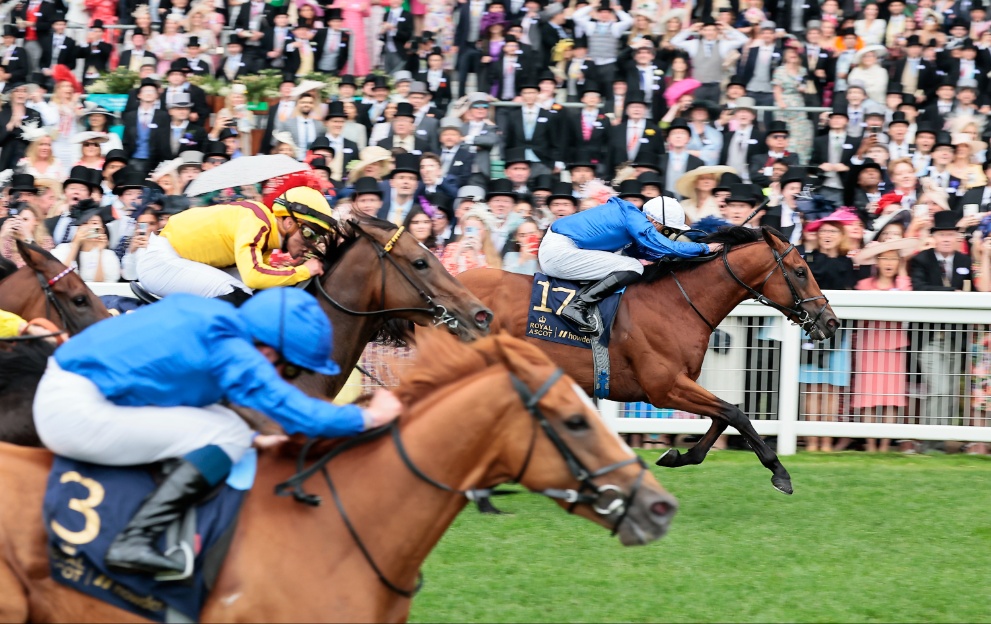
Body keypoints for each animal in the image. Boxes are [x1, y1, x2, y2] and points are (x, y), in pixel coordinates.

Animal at [458, 227, 836, 494]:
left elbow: (723, 417)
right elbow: (735, 413)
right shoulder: (663, 387)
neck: (677, 303)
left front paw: (677, 455)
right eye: (800, 271)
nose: (830, 321)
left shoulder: (680, 383)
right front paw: (780, 472)